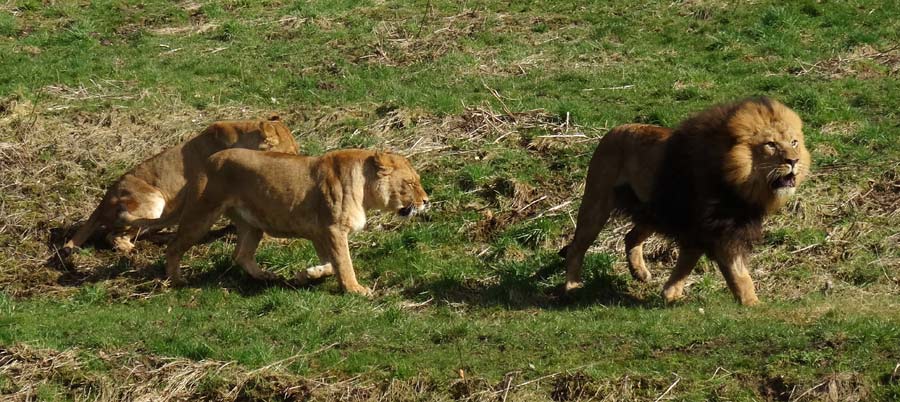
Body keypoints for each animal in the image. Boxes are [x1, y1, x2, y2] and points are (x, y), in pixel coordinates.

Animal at [60, 116, 298, 256]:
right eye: (291, 153)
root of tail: (103, 200)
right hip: (153, 201)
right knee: (114, 235)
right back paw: (129, 248)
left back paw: (164, 237)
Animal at [142, 148, 430, 296]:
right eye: (410, 183)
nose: (427, 201)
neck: (364, 188)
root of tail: (207, 160)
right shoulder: (333, 229)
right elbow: (344, 263)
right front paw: (355, 289)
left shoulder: (319, 233)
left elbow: (330, 264)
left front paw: (307, 274)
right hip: (202, 215)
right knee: (174, 246)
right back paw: (177, 280)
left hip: (253, 225)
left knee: (241, 255)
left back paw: (267, 277)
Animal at [564, 98, 808, 304]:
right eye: (771, 144)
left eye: (794, 142)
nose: (794, 161)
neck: (741, 183)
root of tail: (613, 130)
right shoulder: (720, 229)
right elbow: (739, 274)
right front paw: (752, 305)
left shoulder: (704, 228)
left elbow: (687, 263)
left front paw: (670, 293)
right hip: (597, 202)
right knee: (577, 247)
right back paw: (572, 286)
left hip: (654, 210)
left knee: (630, 236)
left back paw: (640, 273)